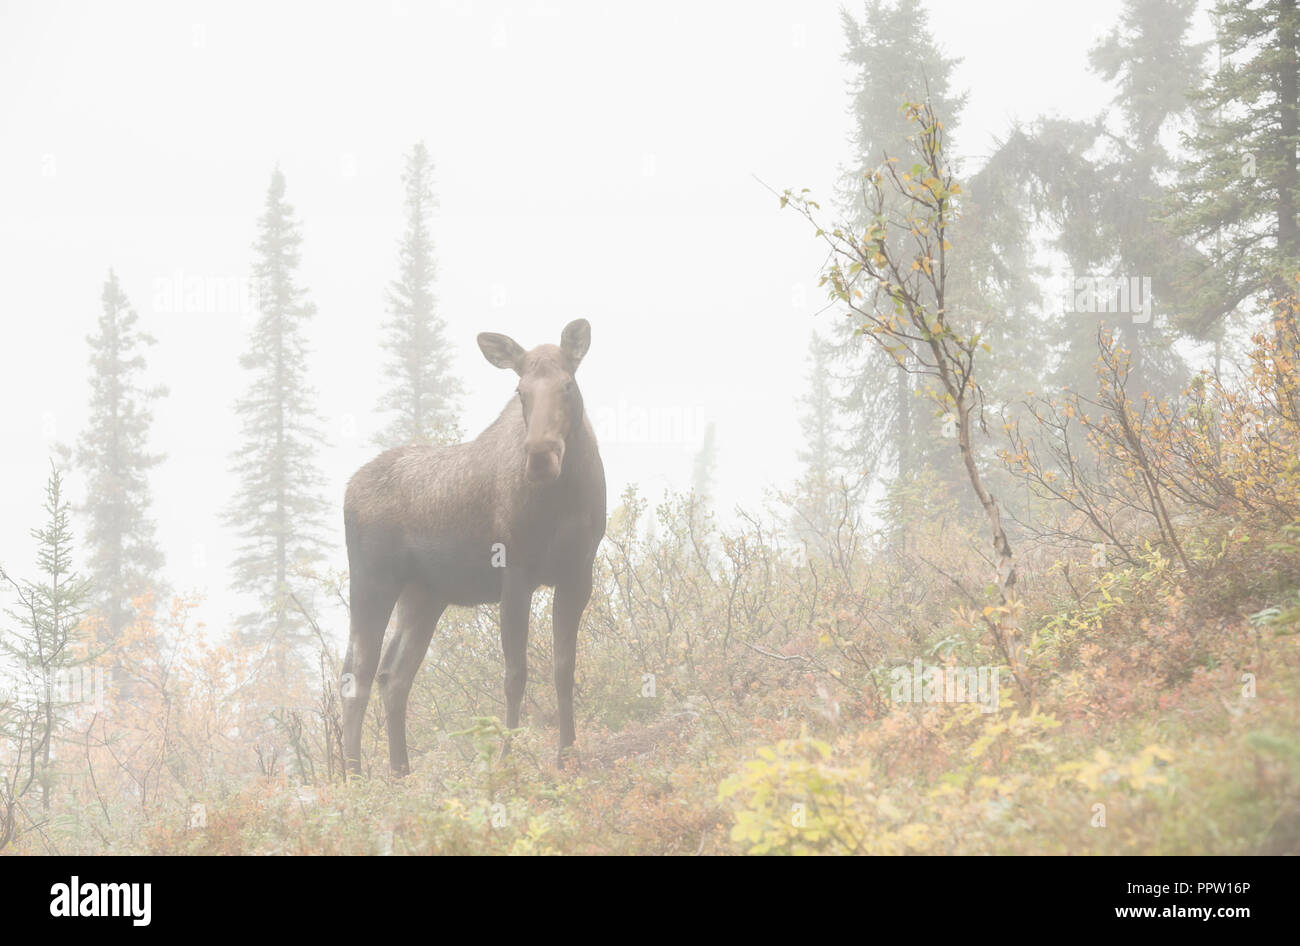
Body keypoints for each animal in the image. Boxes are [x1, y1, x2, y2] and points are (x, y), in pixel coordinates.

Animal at [345, 320, 608, 774]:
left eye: (568, 384)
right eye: (520, 391)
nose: (540, 455)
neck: (564, 499)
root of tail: (346, 489)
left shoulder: (578, 573)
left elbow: (564, 667)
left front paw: (567, 753)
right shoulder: (516, 573)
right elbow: (515, 673)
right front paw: (506, 758)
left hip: (424, 596)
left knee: (393, 676)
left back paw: (400, 773)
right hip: (370, 583)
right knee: (356, 675)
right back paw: (352, 776)